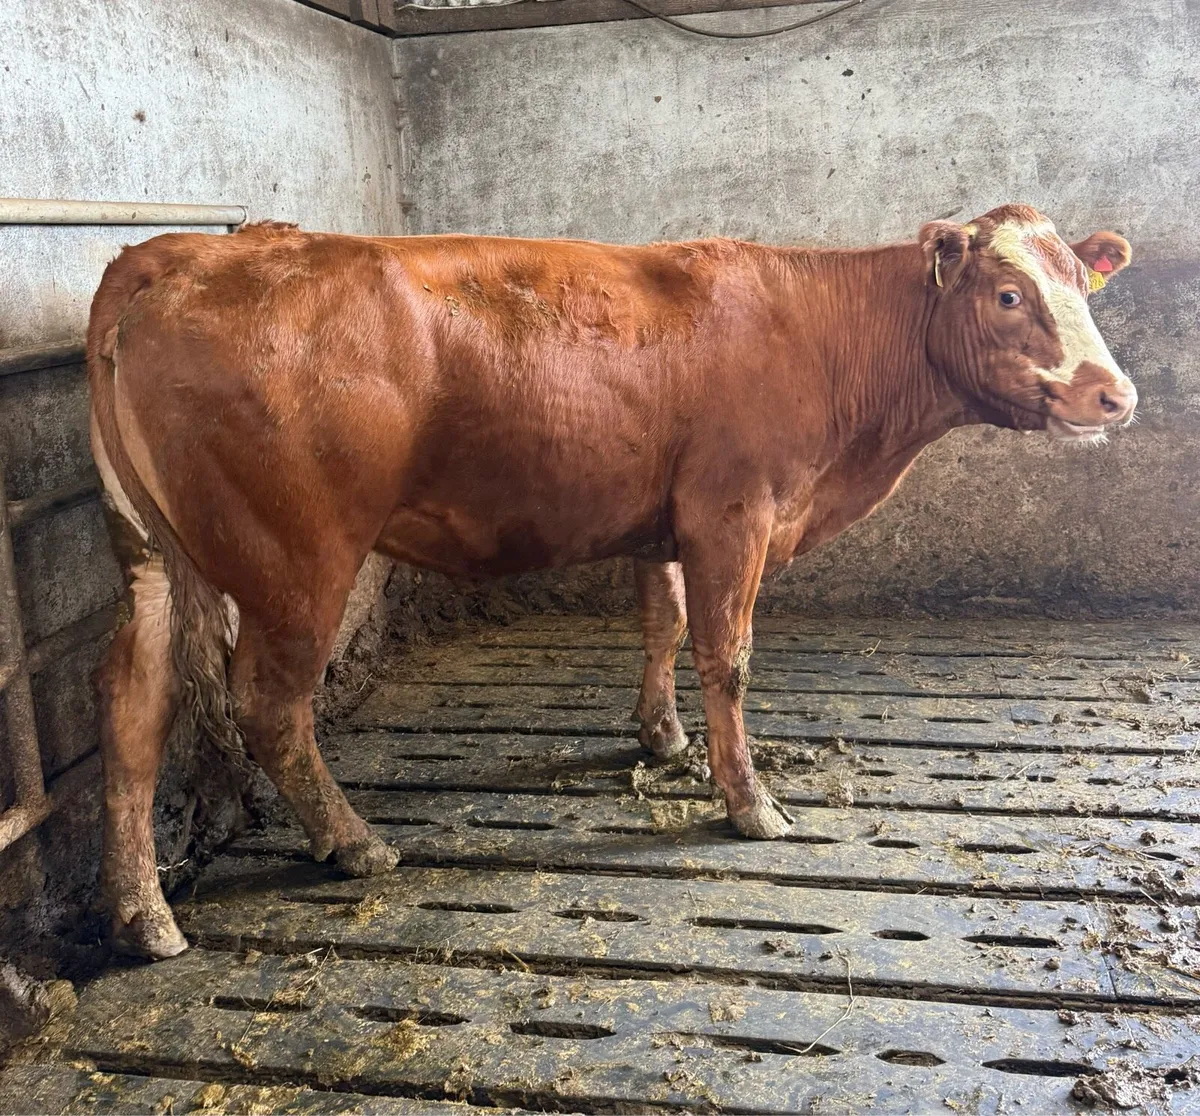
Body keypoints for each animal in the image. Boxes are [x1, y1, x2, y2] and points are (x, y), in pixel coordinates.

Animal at [87, 204, 1135, 959]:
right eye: (1008, 294)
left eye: (1084, 285)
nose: (1113, 394)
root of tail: (178, 252)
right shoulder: (733, 513)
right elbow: (726, 656)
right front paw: (749, 804)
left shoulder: (665, 523)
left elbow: (660, 625)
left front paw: (661, 737)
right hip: (297, 556)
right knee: (270, 703)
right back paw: (352, 841)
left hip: (153, 555)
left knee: (136, 703)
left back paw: (145, 915)